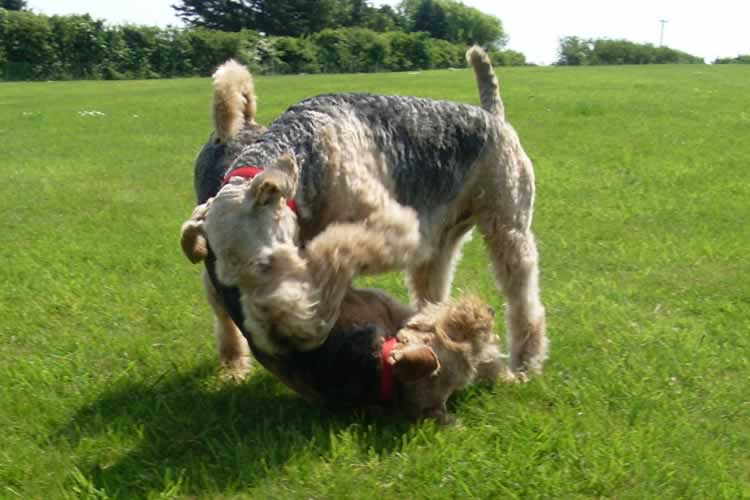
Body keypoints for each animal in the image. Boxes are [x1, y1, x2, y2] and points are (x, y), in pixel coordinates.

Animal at [182, 47, 548, 382]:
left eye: (266, 264)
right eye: (232, 282)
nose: (280, 338)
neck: (308, 150)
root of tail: (493, 115)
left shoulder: (394, 227)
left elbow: (332, 251)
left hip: (507, 225)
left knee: (523, 297)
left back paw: (525, 362)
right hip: (440, 241)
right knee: (435, 285)